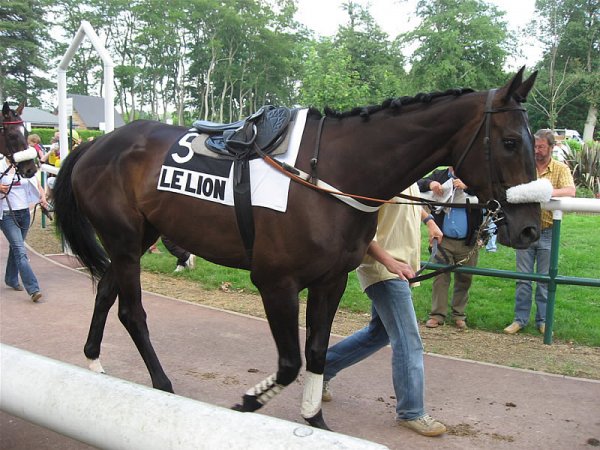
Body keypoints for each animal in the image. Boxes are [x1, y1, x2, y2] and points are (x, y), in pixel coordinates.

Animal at [52, 66, 540, 428]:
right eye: (510, 142)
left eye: (534, 143)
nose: (531, 230)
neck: (334, 173)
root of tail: (95, 144)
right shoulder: (276, 283)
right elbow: (289, 361)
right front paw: (250, 401)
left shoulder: (332, 280)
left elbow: (317, 353)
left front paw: (315, 418)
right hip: (125, 241)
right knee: (132, 311)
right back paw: (162, 383)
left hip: (136, 239)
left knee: (105, 291)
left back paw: (94, 363)